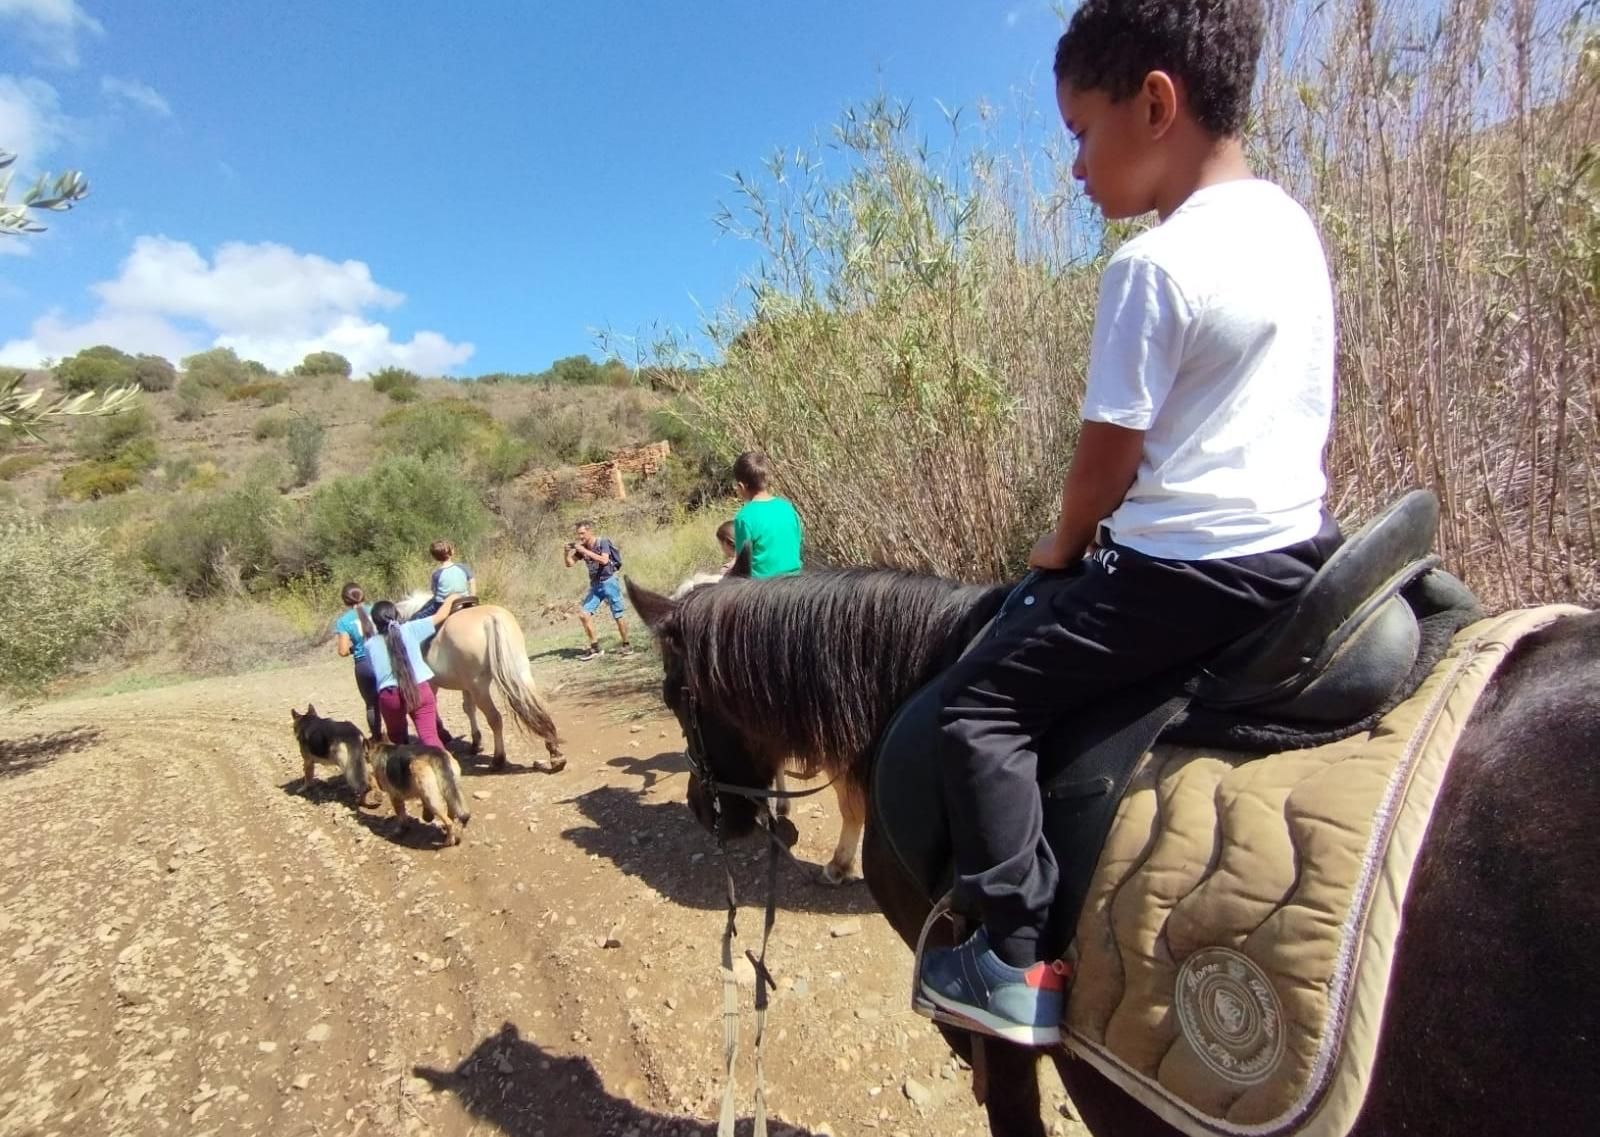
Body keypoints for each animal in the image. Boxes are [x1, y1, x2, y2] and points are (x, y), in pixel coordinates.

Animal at [398, 594, 563, 773]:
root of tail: (491, 618)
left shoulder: (433, 684)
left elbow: (436, 708)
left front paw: (444, 733)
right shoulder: (466, 686)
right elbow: (468, 708)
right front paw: (475, 742)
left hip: (480, 687)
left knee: (495, 719)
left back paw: (498, 759)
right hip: (521, 671)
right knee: (538, 708)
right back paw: (556, 755)